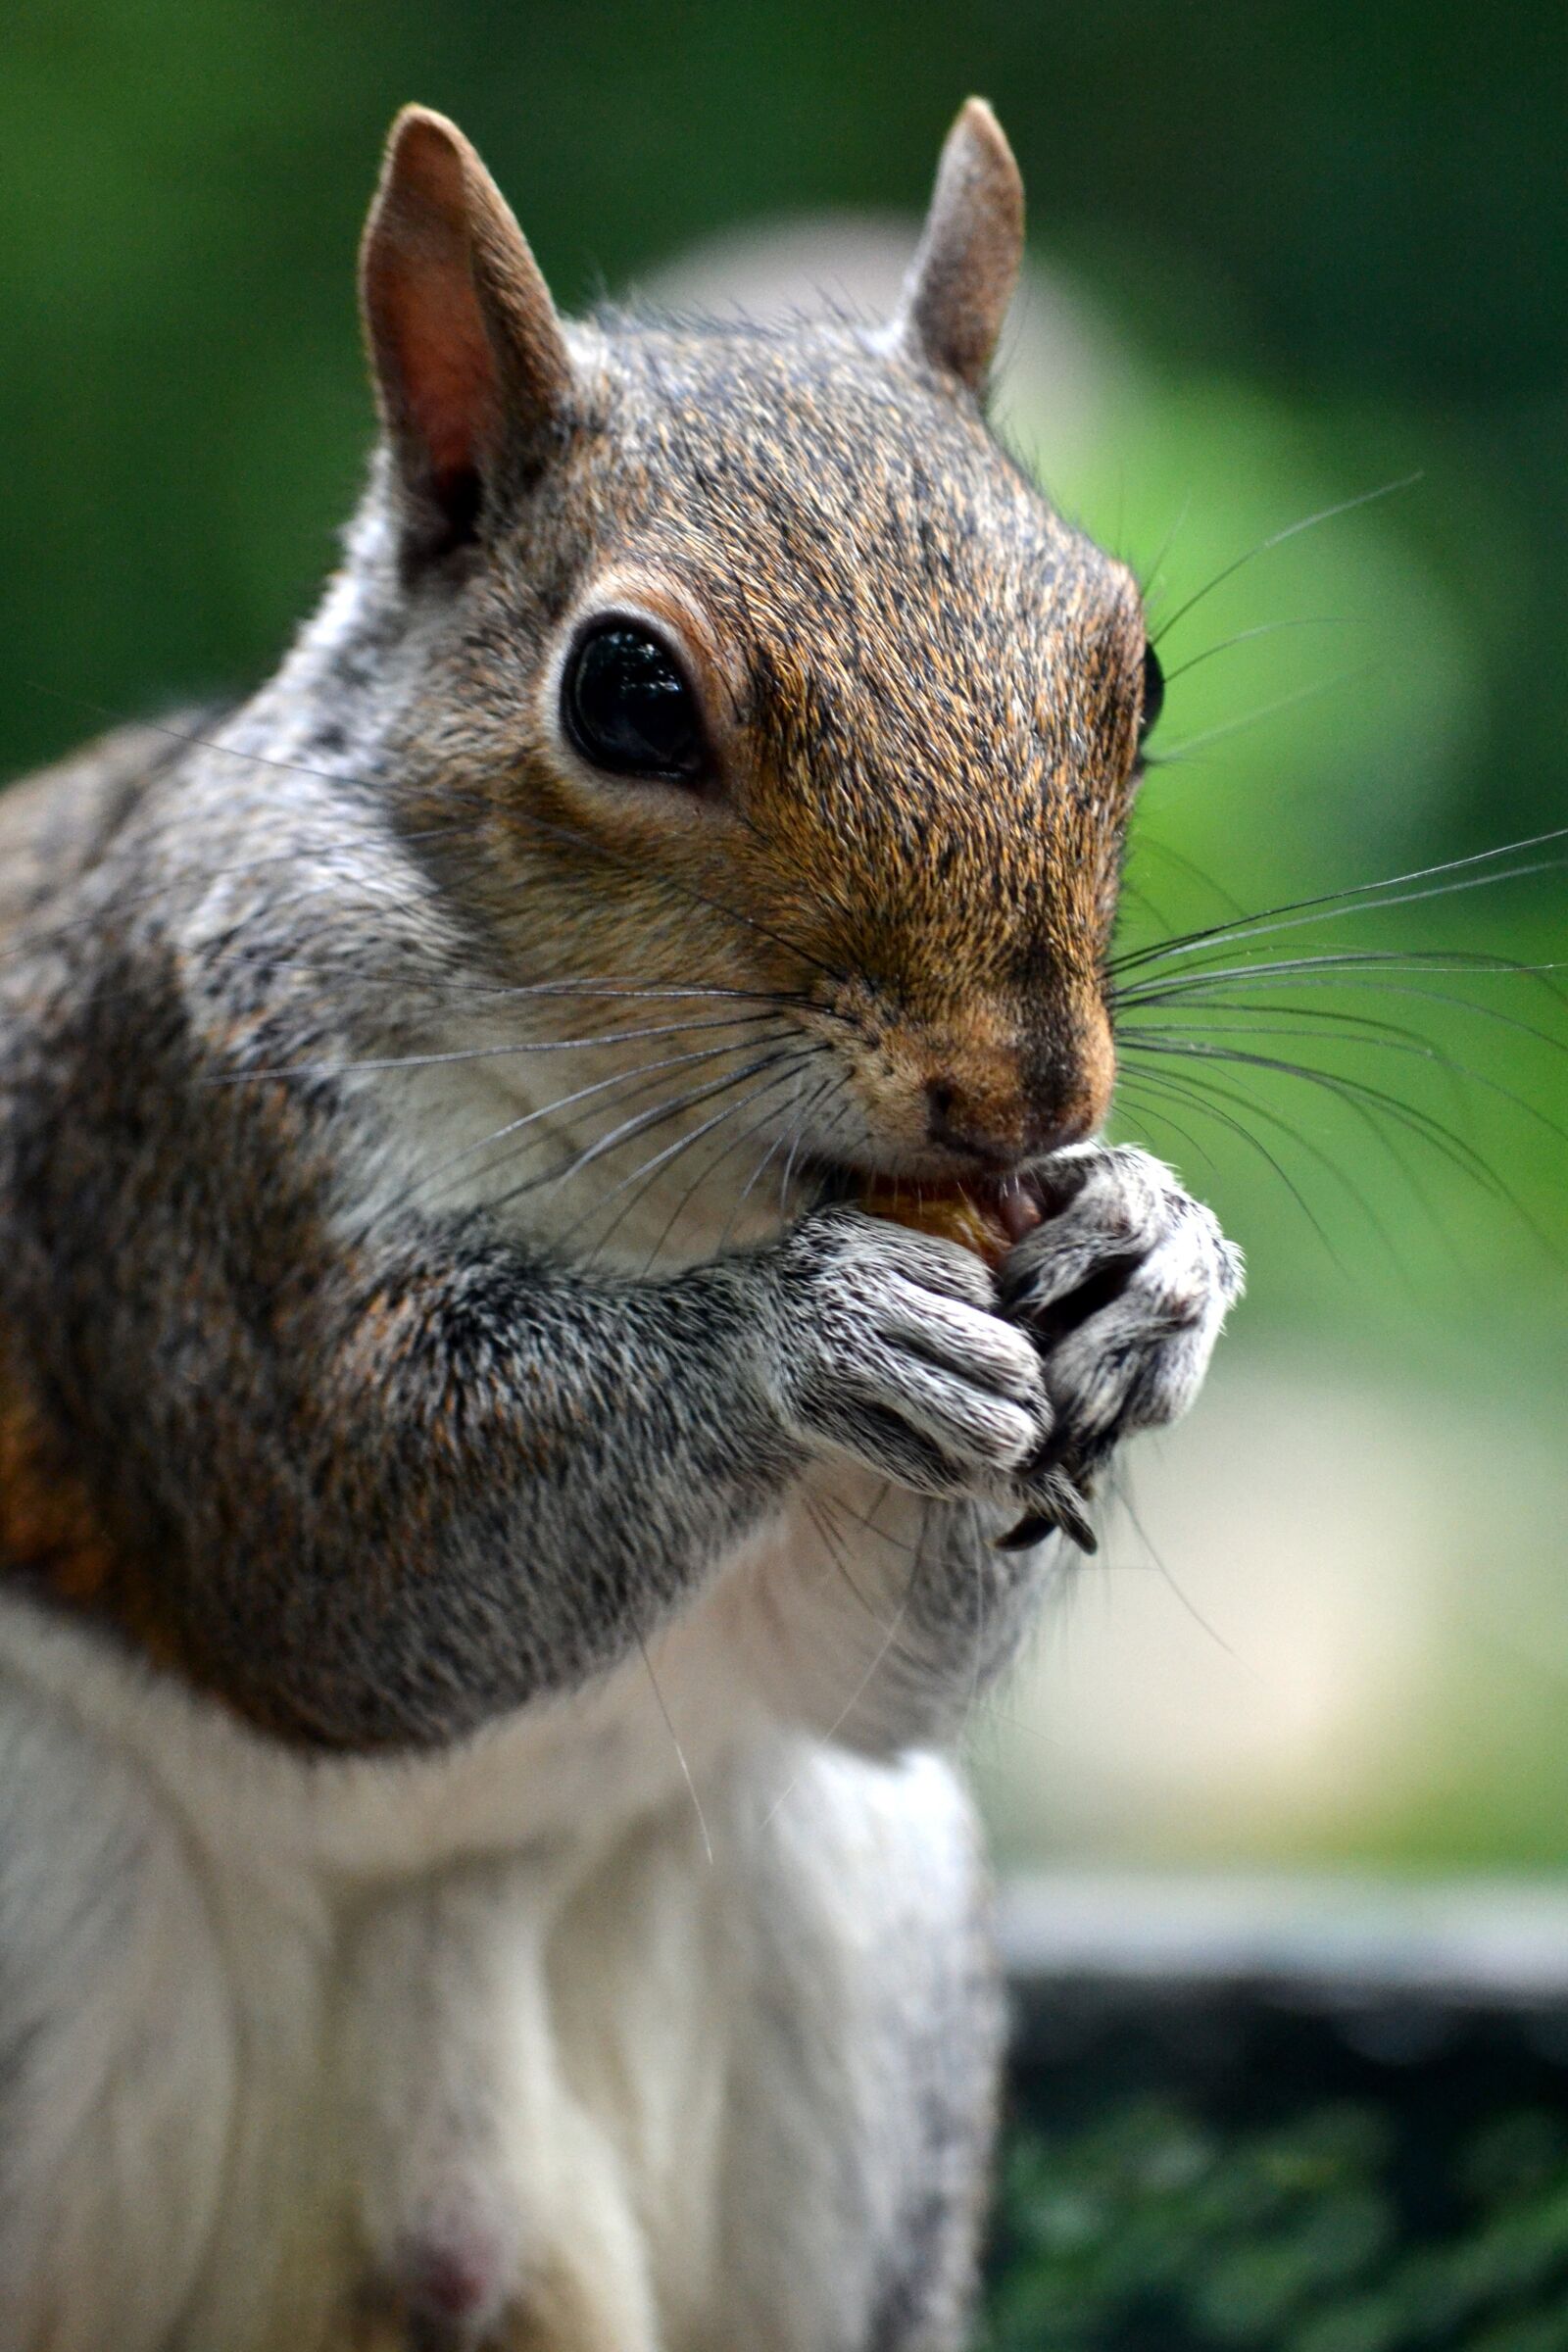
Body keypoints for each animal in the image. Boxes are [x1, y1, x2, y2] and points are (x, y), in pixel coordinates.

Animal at [0, 96, 1242, 2352]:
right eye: (629, 694)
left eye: (1139, 662)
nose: (1025, 1097)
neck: (666, 1176)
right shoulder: (180, 1155)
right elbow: (348, 1560)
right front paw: (807, 1334)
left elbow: (863, 1683)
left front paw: (1151, 1260)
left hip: (838, 1943)